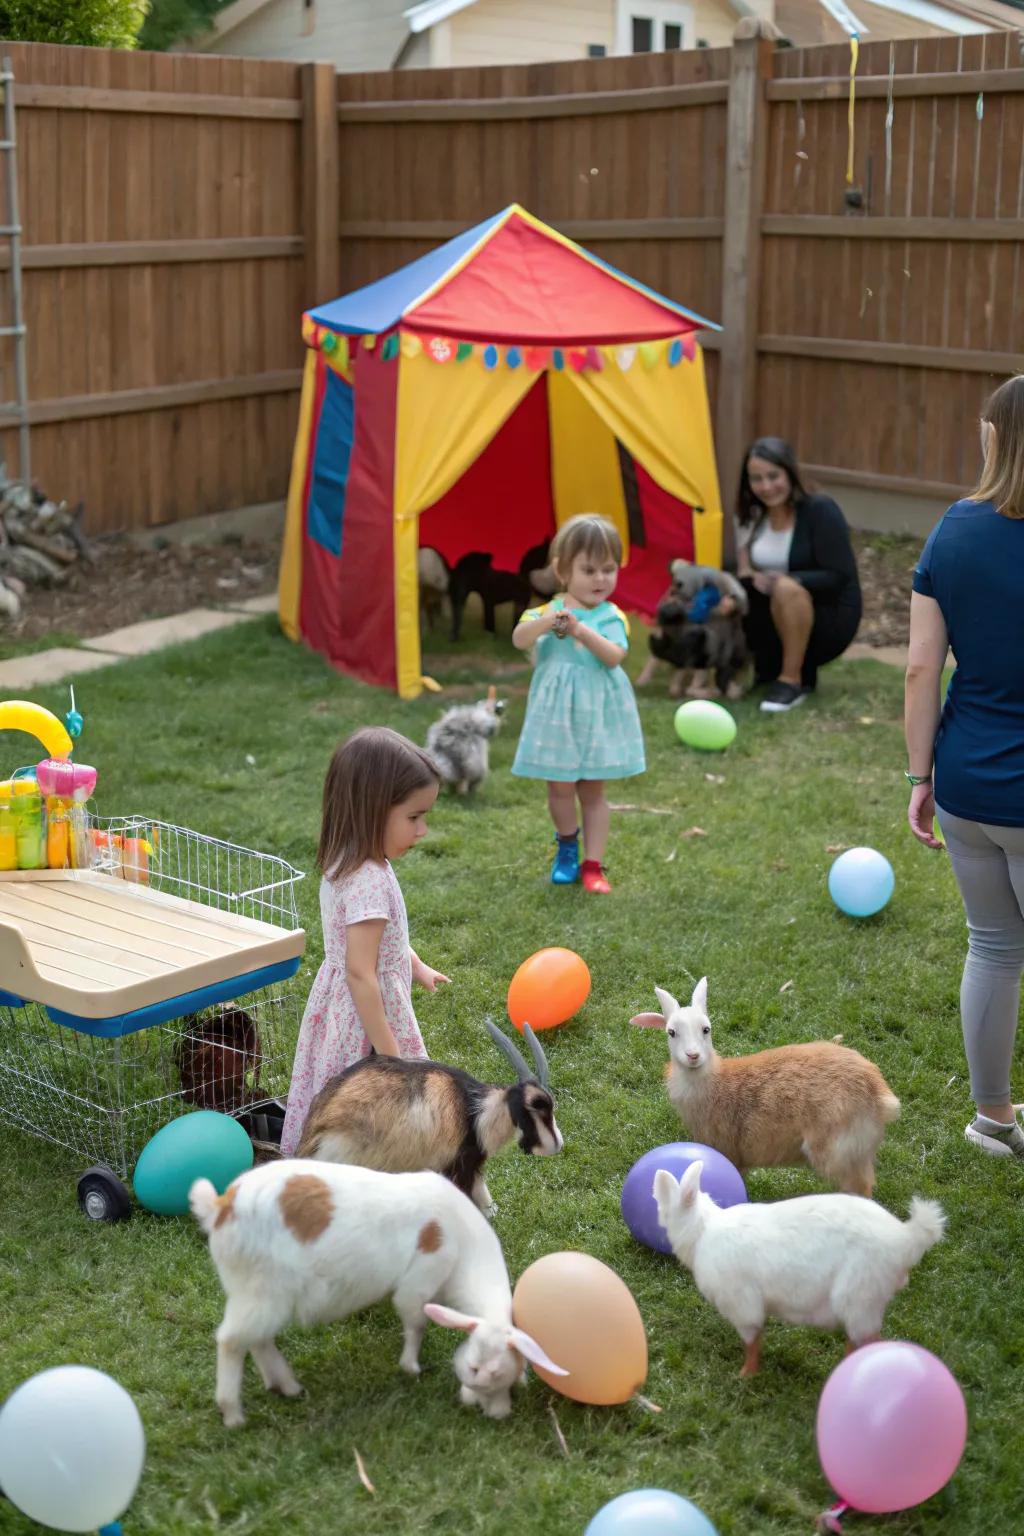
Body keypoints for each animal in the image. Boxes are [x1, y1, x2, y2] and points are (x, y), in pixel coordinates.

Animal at [188, 1161, 564, 1425]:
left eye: (507, 1375)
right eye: (475, 1369)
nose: (498, 1414)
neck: (464, 1245)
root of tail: (219, 1207)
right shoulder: (419, 1281)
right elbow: (416, 1324)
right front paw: (411, 1368)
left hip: (261, 1296)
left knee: (258, 1340)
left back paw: (286, 1386)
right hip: (259, 1291)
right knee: (231, 1341)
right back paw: (233, 1414)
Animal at [657, 1161, 945, 1382]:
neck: (702, 1231)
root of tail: (906, 1238)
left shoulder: (745, 1308)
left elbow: (752, 1342)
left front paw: (746, 1375)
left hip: (858, 1299)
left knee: (869, 1340)